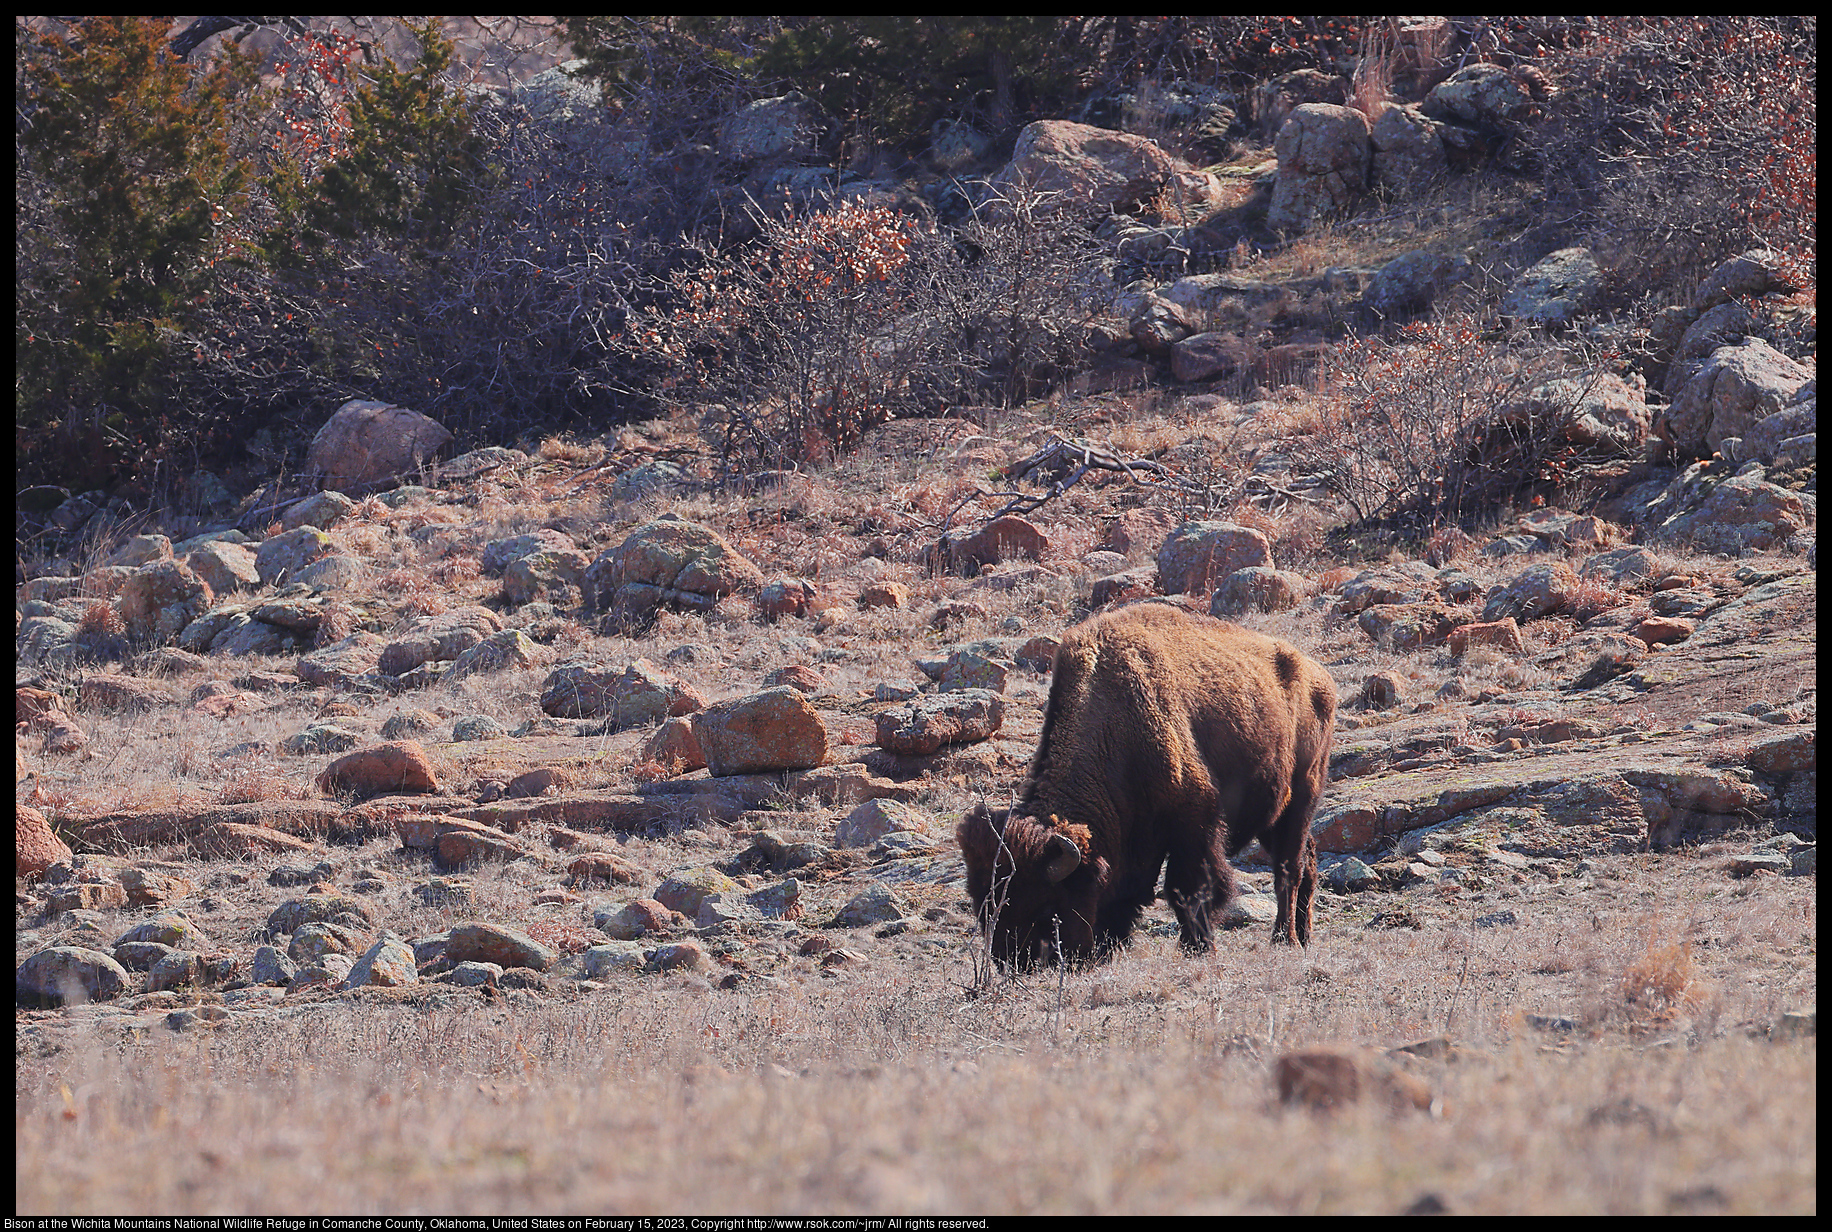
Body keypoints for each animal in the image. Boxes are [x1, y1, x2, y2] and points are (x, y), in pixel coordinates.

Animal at [959, 601, 1333, 968]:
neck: (1115, 724)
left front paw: (1198, 948)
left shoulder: (1193, 821)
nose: (1011, 962)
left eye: (1046, 906)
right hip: (1271, 817)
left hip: (1301, 798)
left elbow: (1189, 888)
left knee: (1289, 869)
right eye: (983, 905)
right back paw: (1305, 938)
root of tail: (1320, 677)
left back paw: (1284, 939)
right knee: (1308, 860)